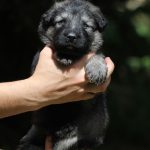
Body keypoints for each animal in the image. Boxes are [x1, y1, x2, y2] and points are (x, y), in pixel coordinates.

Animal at [17, 0, 108, 149]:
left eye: (86, 25)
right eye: (61, 22)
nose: (71, 37)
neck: (73, 56)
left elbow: (97, 54)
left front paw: (97, 68)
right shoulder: (38, 60)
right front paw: (63, 55)